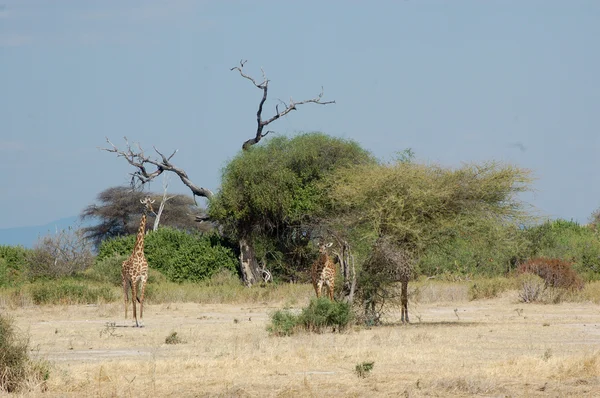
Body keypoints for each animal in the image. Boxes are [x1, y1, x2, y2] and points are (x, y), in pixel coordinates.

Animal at [121, 197, 155, 328]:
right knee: (126, 298)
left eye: (152, 205)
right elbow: (133, 299)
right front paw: (134, 321)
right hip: (125, 280)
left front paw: (141, 320)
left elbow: (142, 297)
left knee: (133, 297)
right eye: (145, 205)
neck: (139, 253)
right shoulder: (134, 278)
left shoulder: (144, 277)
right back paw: (126, 320)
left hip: (132, 282)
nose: (153, 212)